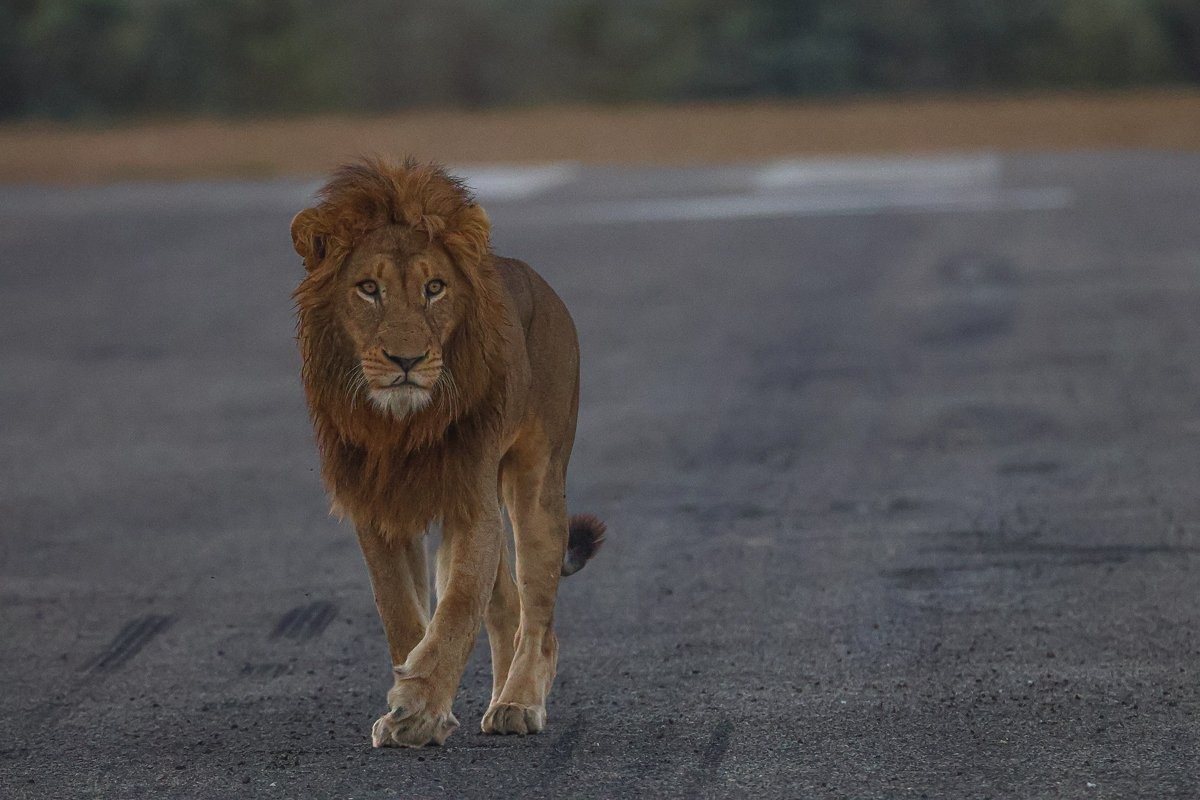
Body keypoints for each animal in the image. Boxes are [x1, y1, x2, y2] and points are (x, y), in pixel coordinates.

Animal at [290, 157, 605, 748]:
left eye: (434, 288)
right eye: (368, 288)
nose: (407, 360)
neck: (402, 426)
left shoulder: (471, 499)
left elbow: (457, 607)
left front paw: (417, 710)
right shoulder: (379, 507)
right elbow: (401, 612)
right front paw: (414, 704)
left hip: (536, 485)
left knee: (538, 617)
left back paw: (518, 704)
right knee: (506, 605)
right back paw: (498, 699)